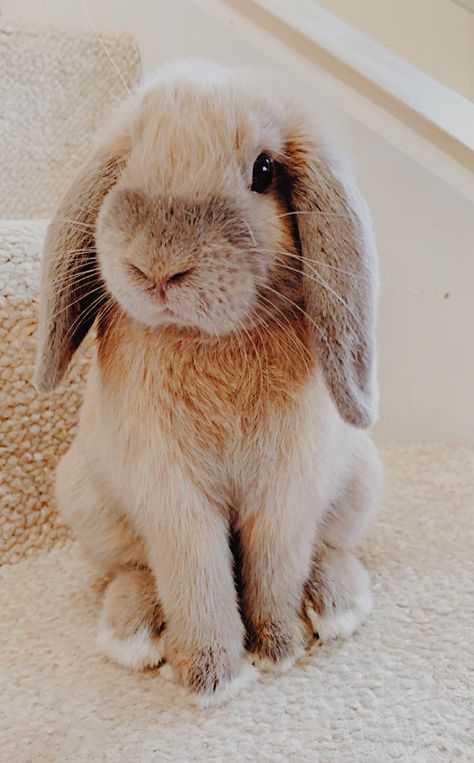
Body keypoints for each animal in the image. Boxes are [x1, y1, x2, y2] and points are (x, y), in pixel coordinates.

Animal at [34, 61, 382, 712]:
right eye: (129, 161)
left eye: (265, 170)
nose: (158, 267)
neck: (208, 339)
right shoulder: (172, 496)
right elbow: (195, 577)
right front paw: (211, 677)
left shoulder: (287, 490)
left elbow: (275, 566)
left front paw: (277, 649)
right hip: (87, 499)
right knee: (132, 568)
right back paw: (134, 629)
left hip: (360, 485)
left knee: (330, 547)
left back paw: (334, 602)